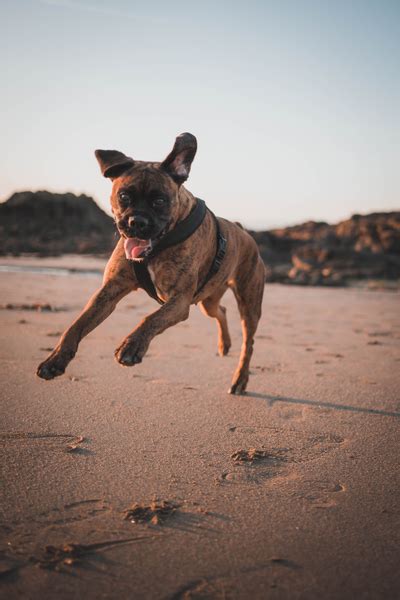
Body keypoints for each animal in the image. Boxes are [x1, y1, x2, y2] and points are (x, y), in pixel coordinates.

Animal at [36, 132, 266, 394]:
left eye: (159, 201)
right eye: (124, 196)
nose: (137, 222)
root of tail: (244, 232)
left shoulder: (179, 302)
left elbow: (151, 318)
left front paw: (131, 346)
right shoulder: (108, 292)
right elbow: (76, 325)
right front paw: (55, 360)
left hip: (249, 305)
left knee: (249, 343)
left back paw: (240, 379)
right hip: (208, 300)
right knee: (221, 311)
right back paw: (224, 345)